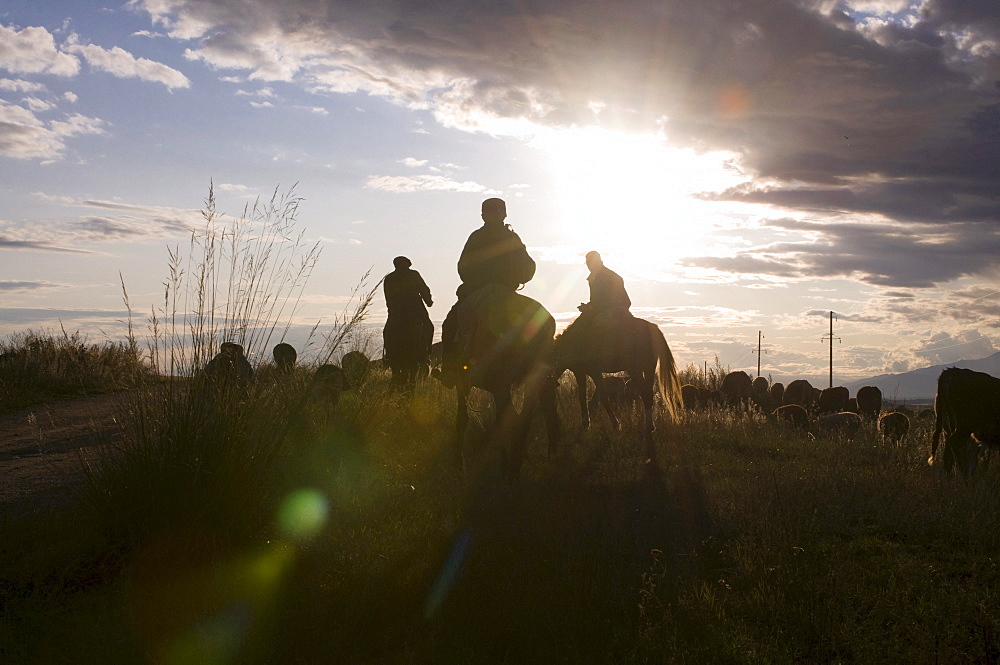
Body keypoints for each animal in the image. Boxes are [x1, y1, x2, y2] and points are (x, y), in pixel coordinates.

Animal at [448, 286, 560, 478]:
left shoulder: (465, 384)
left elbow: (462, 420)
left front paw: (458, 464)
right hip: (536, 378)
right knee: (538, 413)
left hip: (502, 383)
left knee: (512, 419)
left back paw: (511, 467)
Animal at [552, 316, 684, 438]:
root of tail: (653, 328)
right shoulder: (580, 372)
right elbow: (582, 398)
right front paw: (585, 425)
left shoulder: (594, 372)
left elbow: (603, 398)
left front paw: (615, 425)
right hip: (648, 368)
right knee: (648, 394)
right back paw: (650, 426)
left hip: (636, 370)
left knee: (645, 394)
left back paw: (648, 427)